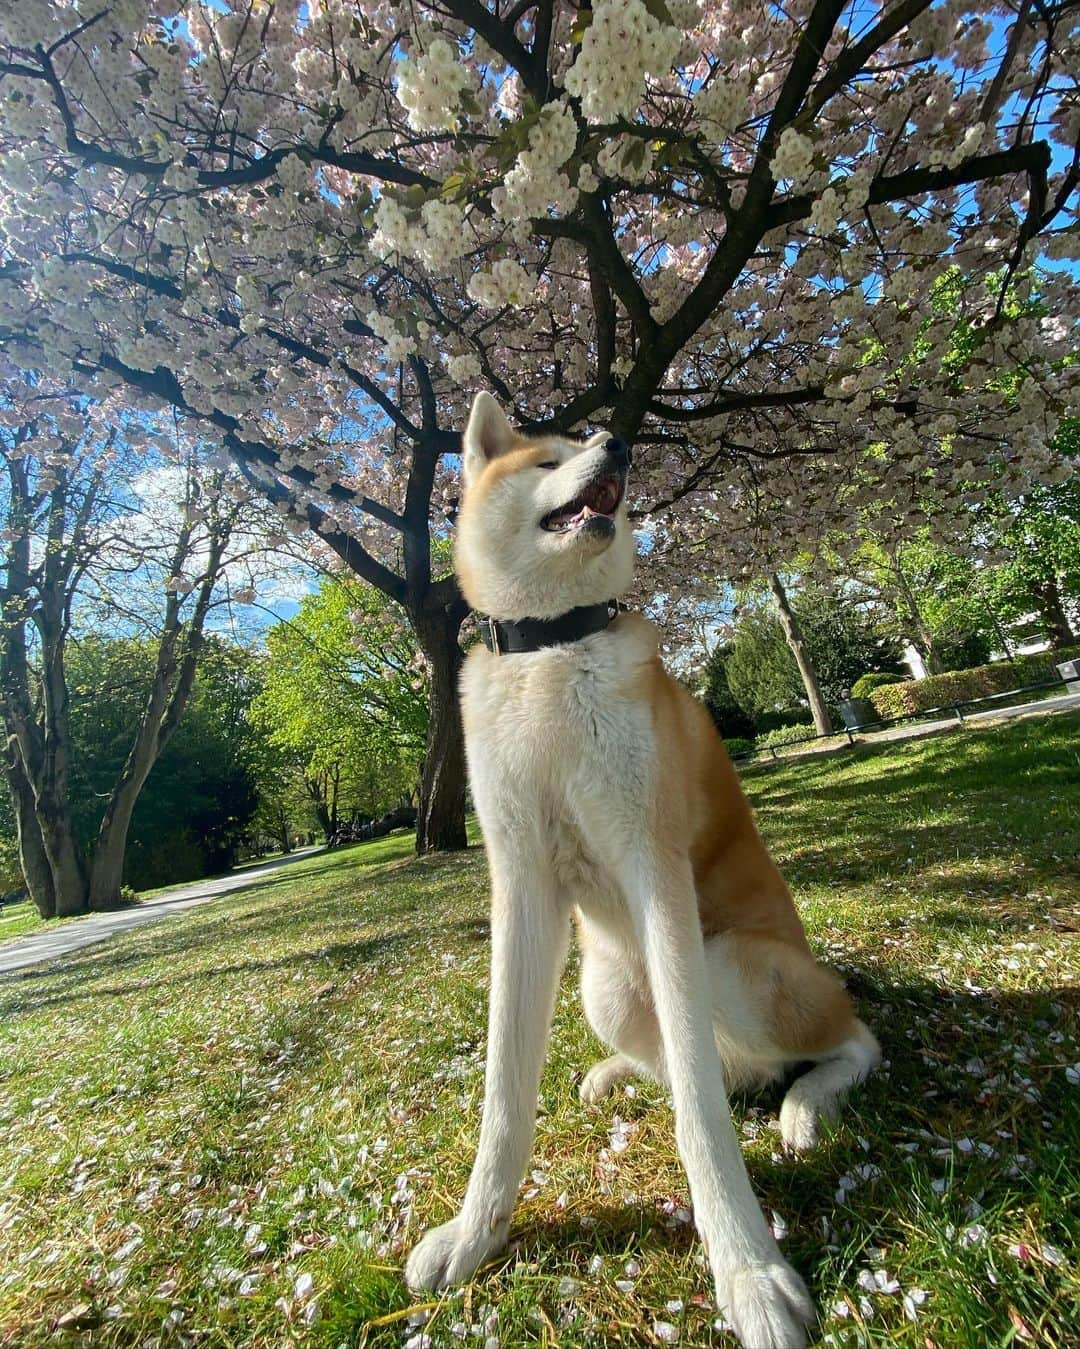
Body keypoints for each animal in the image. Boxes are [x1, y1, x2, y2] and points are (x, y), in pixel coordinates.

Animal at [404, 393, 873, 1349]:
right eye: (547, 460)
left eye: (584, 443)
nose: (616, 441)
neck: (551, 649)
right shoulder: (522, 890)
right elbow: (504, 1097)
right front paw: (475, 1234)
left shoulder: (658, 879)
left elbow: (699, 1113)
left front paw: (749, 1271)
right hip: (610, 988)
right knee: (709, 1065)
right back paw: (614, 1073)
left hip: (731, 965)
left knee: (839, 1042)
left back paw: (808, 1104)